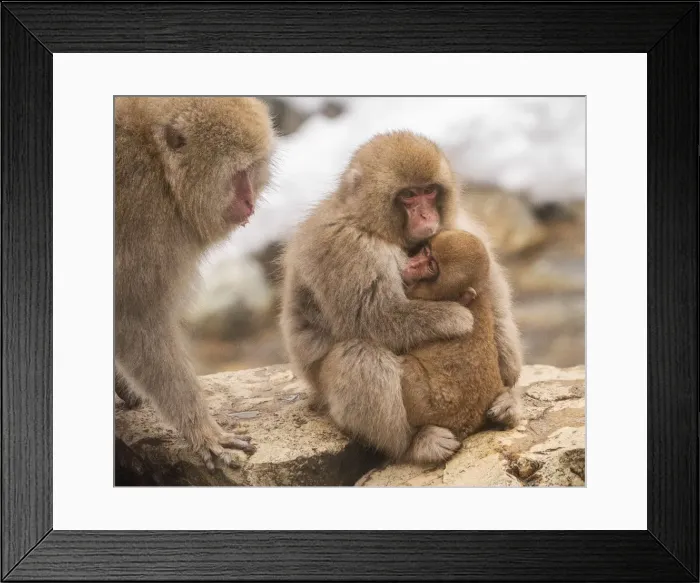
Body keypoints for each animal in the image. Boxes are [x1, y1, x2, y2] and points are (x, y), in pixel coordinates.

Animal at [115, 97, 274, 470]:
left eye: (253, 169)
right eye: (239, 173)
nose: (249, 202)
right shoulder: (145, 222)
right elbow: (134, 322)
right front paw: (202, 431)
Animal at [400, 229, 516, 440]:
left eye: (431, 266)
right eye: (426, 251)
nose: (411, 265)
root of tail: (467, 426)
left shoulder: (417, 296)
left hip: (429, 408)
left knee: (406, 366)